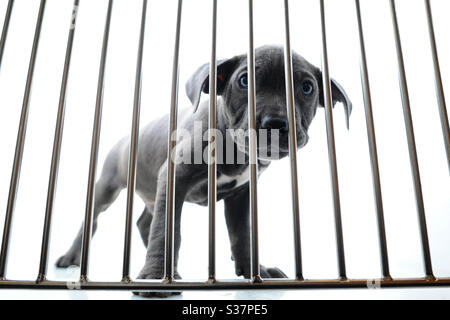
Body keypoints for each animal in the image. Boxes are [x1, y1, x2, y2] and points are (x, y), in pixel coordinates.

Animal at [55, 45, 352, 298]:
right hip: (108, 186)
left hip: (152, 191)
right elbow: (166, 230)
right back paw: (71, 258)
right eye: (244, 81)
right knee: (94, 220)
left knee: (144, 221)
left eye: (307, 87)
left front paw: (253, 271)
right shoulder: (175, 176)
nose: (275, 122)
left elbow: (242, 234)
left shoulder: (240, 196)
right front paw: (156, 278)